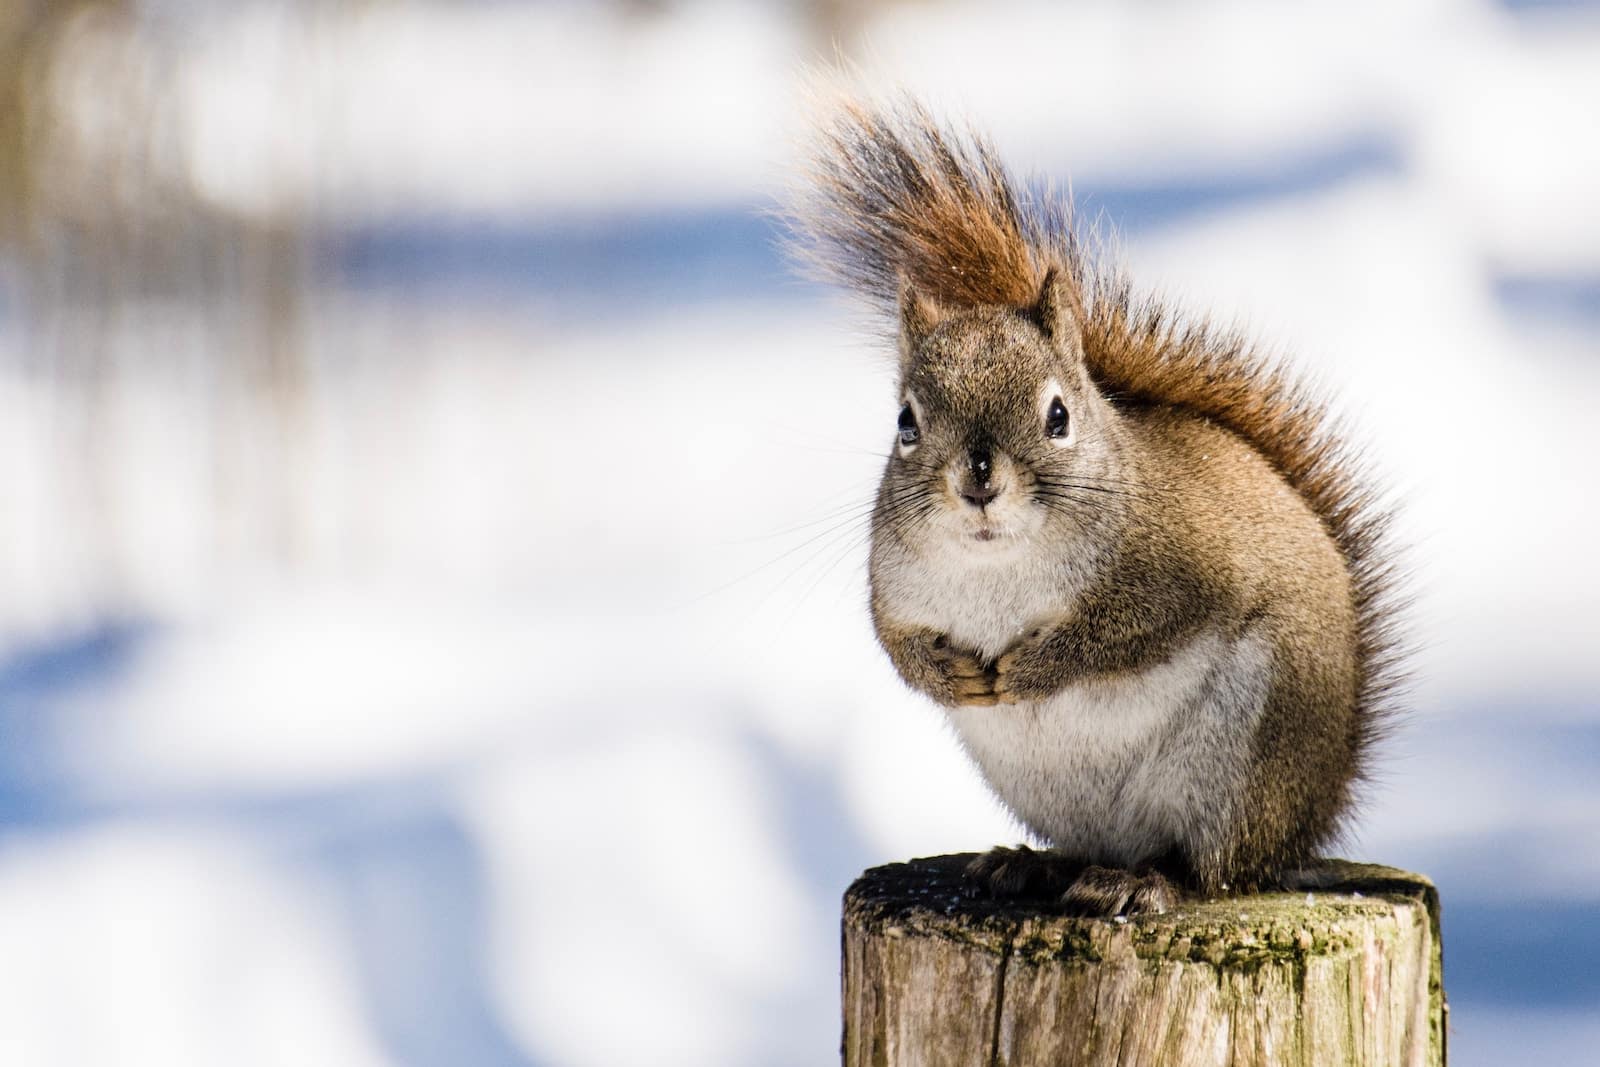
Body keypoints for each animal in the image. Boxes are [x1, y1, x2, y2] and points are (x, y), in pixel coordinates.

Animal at [784, 97, 1401, 921]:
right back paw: (1031, 865)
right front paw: (950, 676)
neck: (997, 566)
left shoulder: (1182, 570)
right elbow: (894, 642)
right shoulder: (895, 586)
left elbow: (1131, 631)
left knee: (1210, 867)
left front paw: (1033, 667)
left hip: (1247, 761)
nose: (979, 481)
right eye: (906, 422)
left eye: (1058, 416)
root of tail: (1310, 817)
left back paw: (1145, 879)